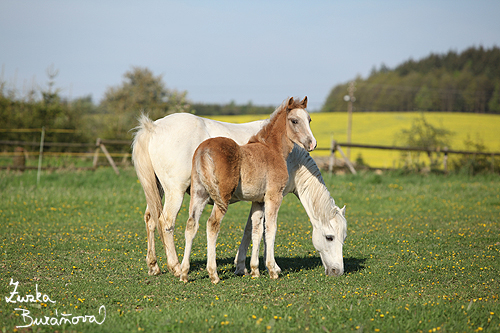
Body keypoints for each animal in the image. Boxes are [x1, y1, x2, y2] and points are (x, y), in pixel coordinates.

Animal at [180, 96, 312, 282]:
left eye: (309, 119)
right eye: (294, 120)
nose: (312, 144)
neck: (273, 150)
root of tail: (202, 151)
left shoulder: (258, 200)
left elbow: (256, 229)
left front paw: (255, 270)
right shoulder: (274, 196)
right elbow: (270, 228)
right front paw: (272, 270)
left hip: (199, 194)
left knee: (191, 224)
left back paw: (184, 273)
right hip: (222, 197)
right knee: (212, 224)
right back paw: (213, 274)